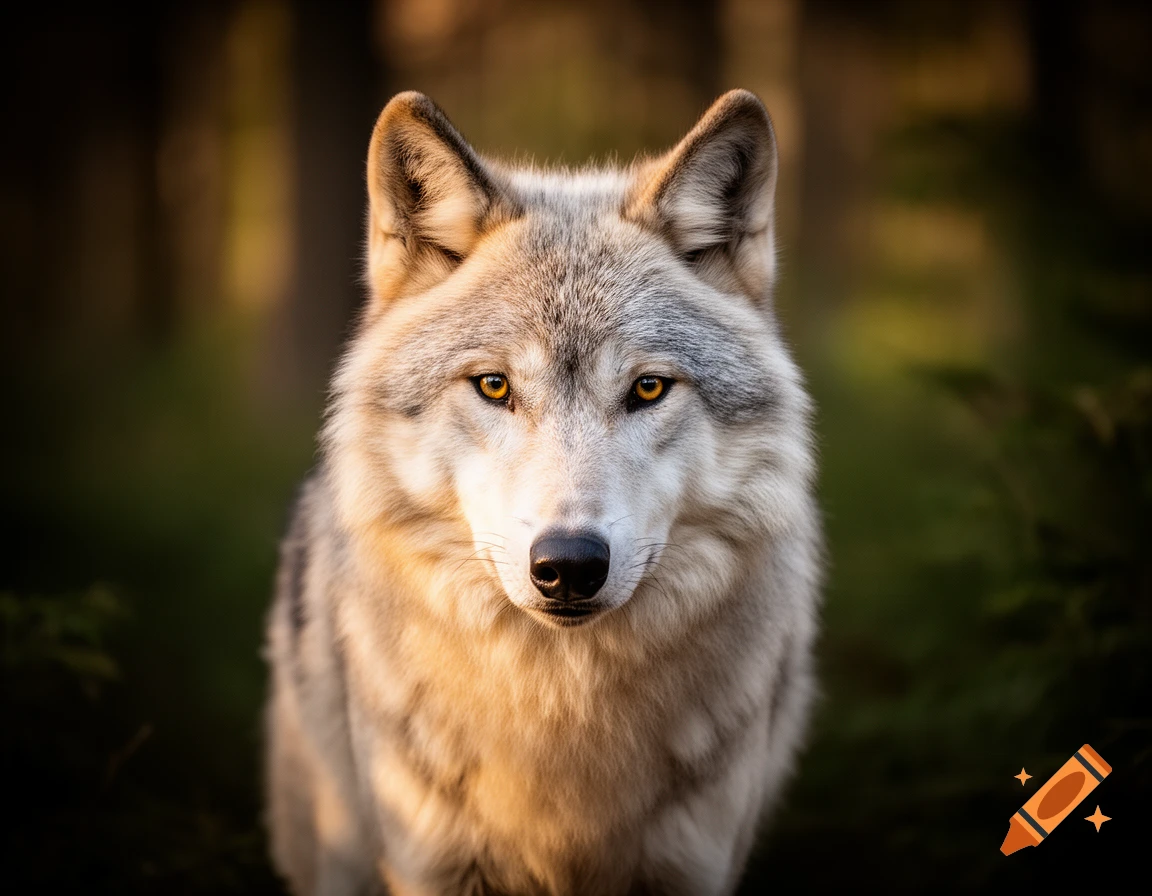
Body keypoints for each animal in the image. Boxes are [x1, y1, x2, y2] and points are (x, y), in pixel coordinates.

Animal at [264, 89, 821, 896]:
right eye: (494, 386)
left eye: (647, 388)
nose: (568, 565)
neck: (560, 720)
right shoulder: (431, 865)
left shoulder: (694, 863)